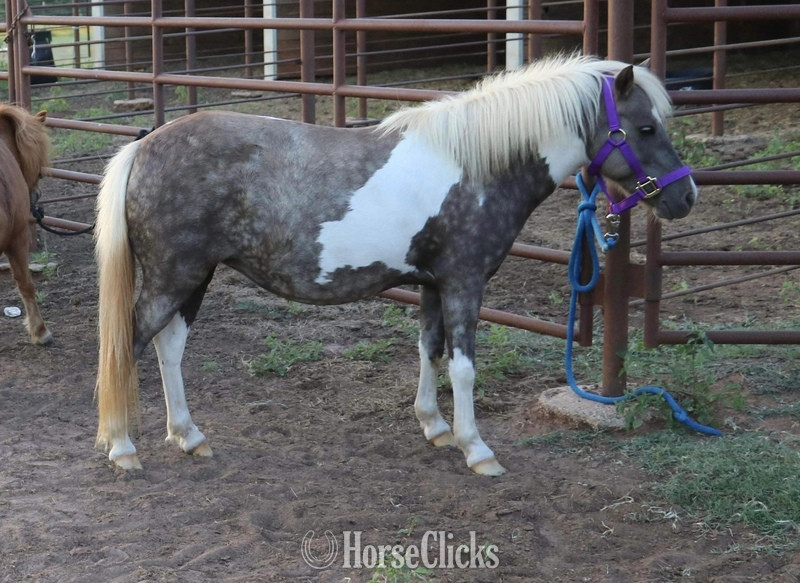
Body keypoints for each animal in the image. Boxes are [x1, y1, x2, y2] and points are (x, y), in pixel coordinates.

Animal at [95, 54, 697, 474]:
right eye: (645, 129)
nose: (684, 196)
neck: (477, 165)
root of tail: (144, 145)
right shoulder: (463, 284)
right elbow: (463, 367)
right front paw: (477, 448)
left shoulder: (431, 284)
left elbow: (429, 350)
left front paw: (435, 426)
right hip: (174, 277)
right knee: (129, 344)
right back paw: (123, 448)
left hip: (193, 278)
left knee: (170, 347)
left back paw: (188, 435)